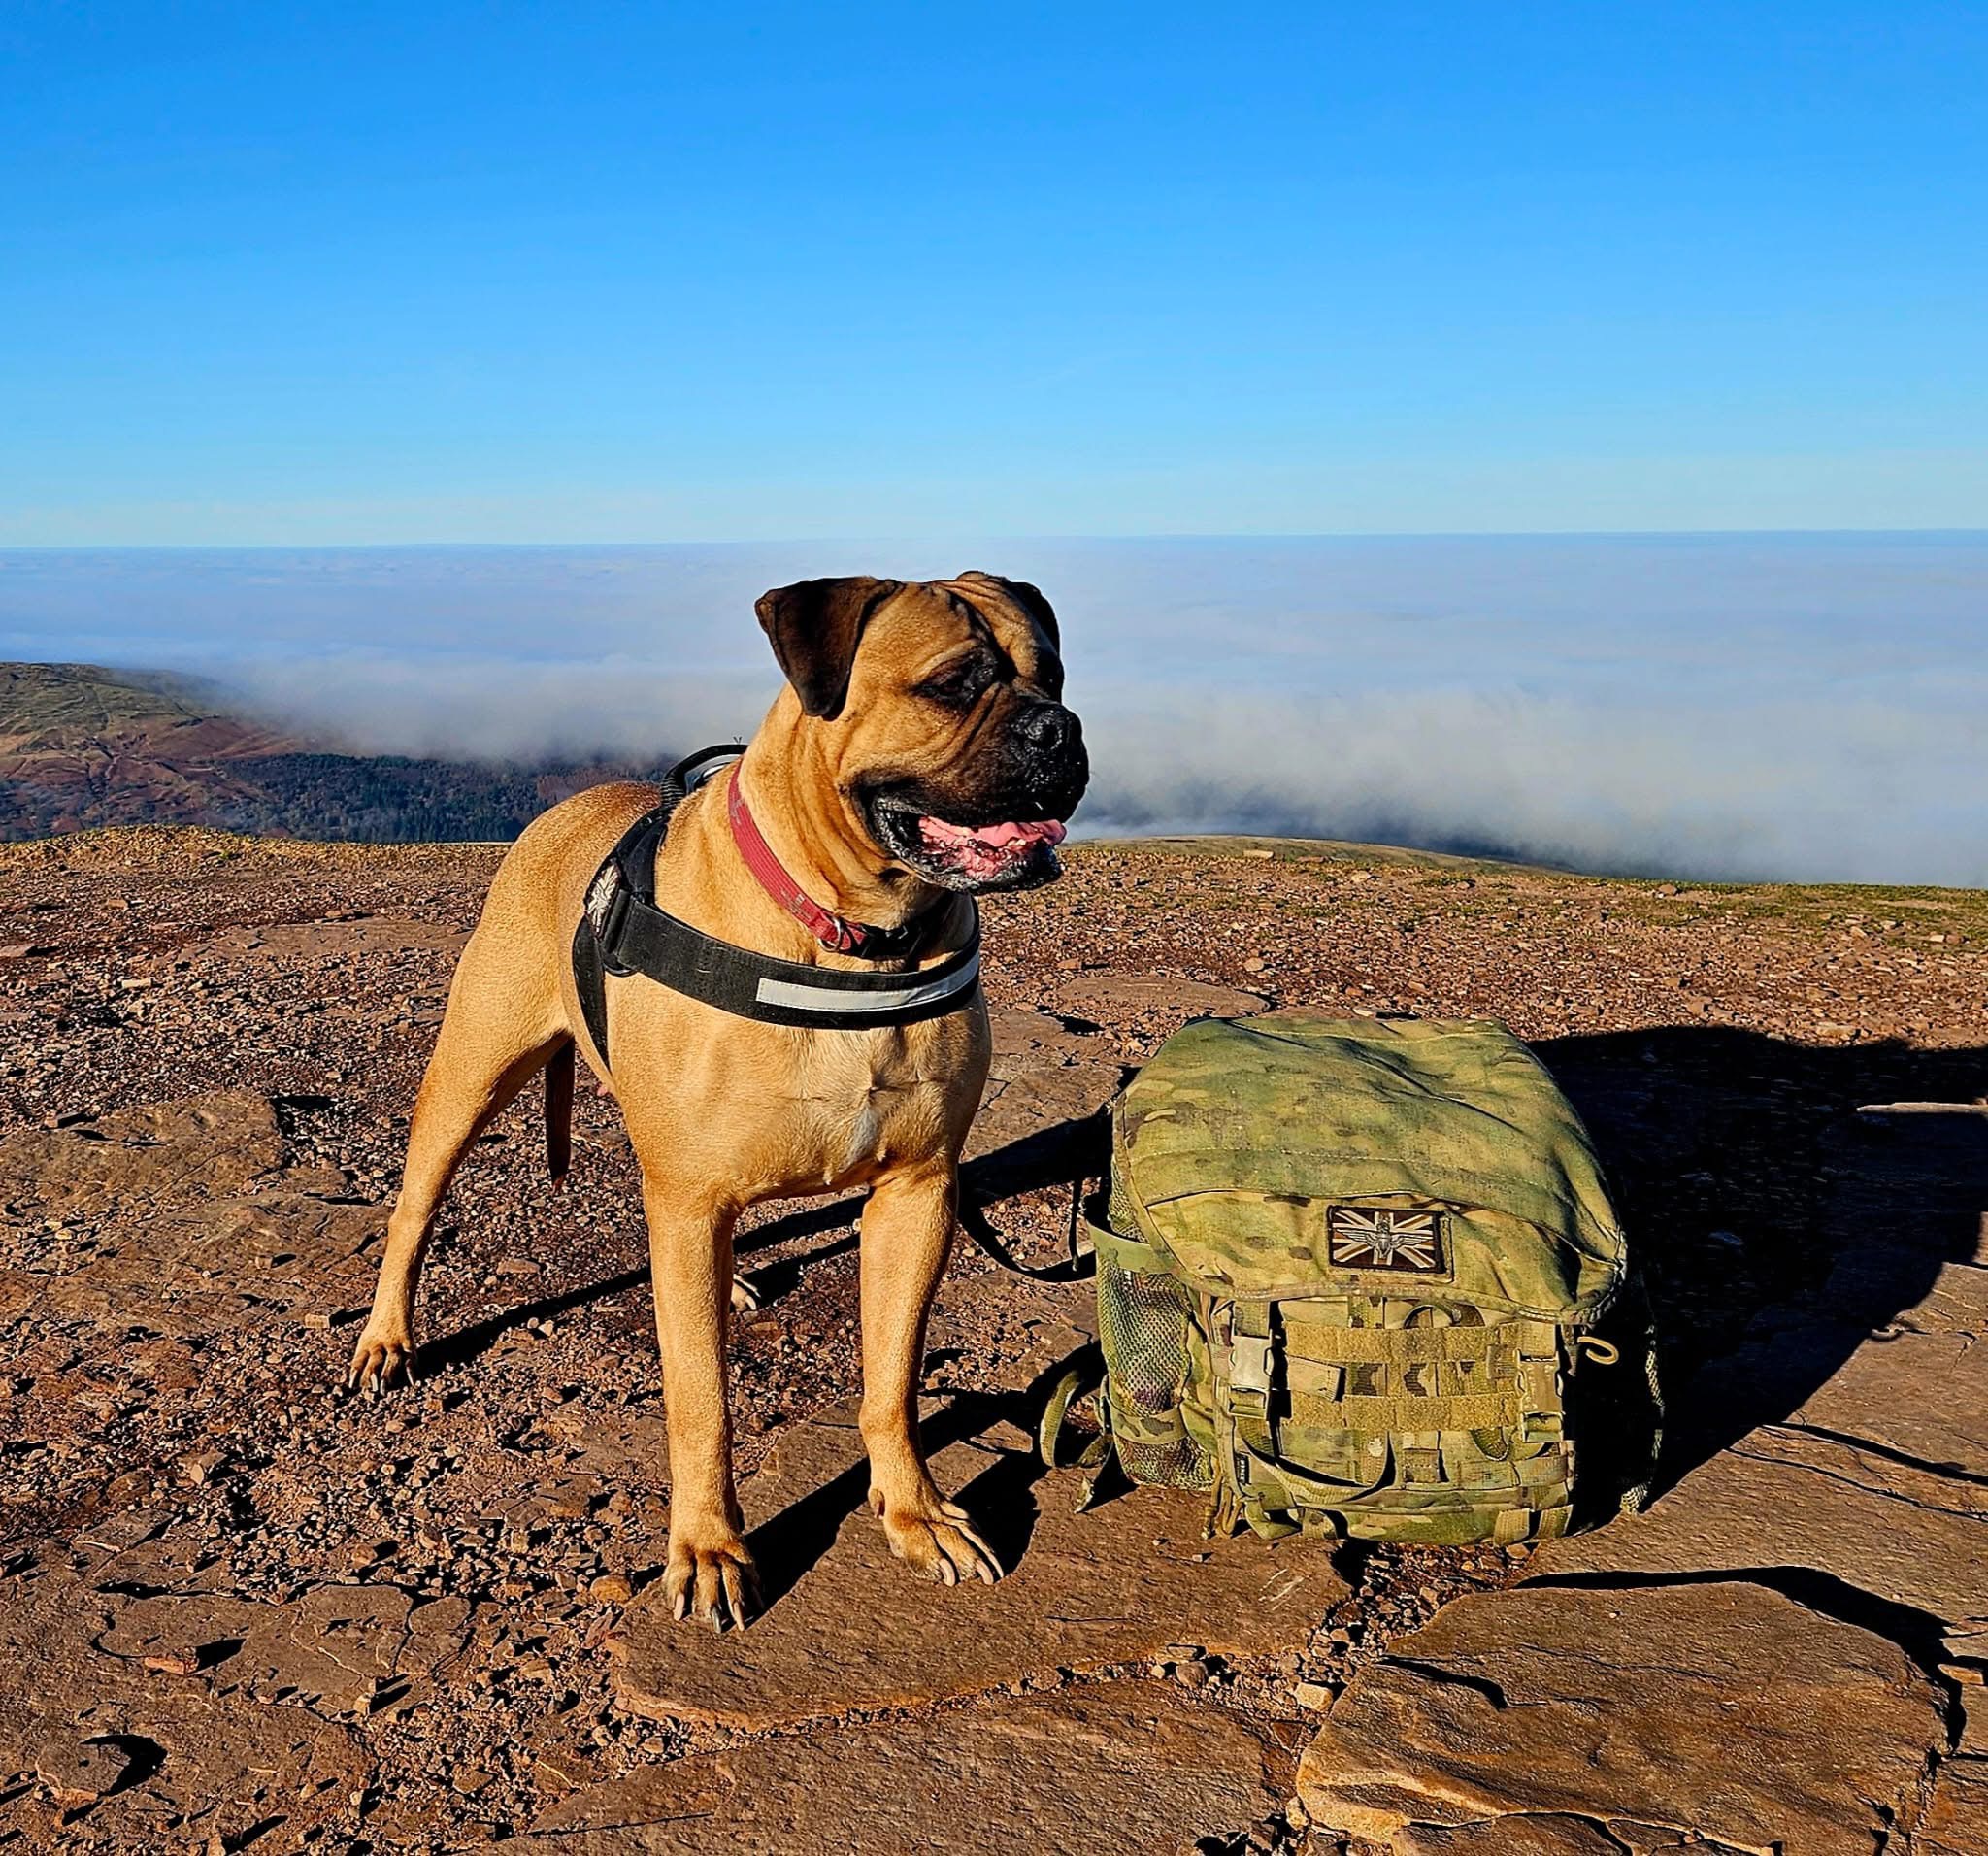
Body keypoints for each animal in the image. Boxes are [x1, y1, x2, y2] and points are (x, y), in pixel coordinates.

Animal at [342, 576, 1089, 1629]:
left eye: (1053, 675)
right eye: (951, 685)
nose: (1060, 730)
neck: (851, 932)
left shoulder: (917, 1193)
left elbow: (892, 1378)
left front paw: (914, 1512)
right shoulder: (693, 1200)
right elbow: (703, 1400)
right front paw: (707, 1547)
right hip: (469, 1076)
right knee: (415, 1210)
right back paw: (387, 1337)